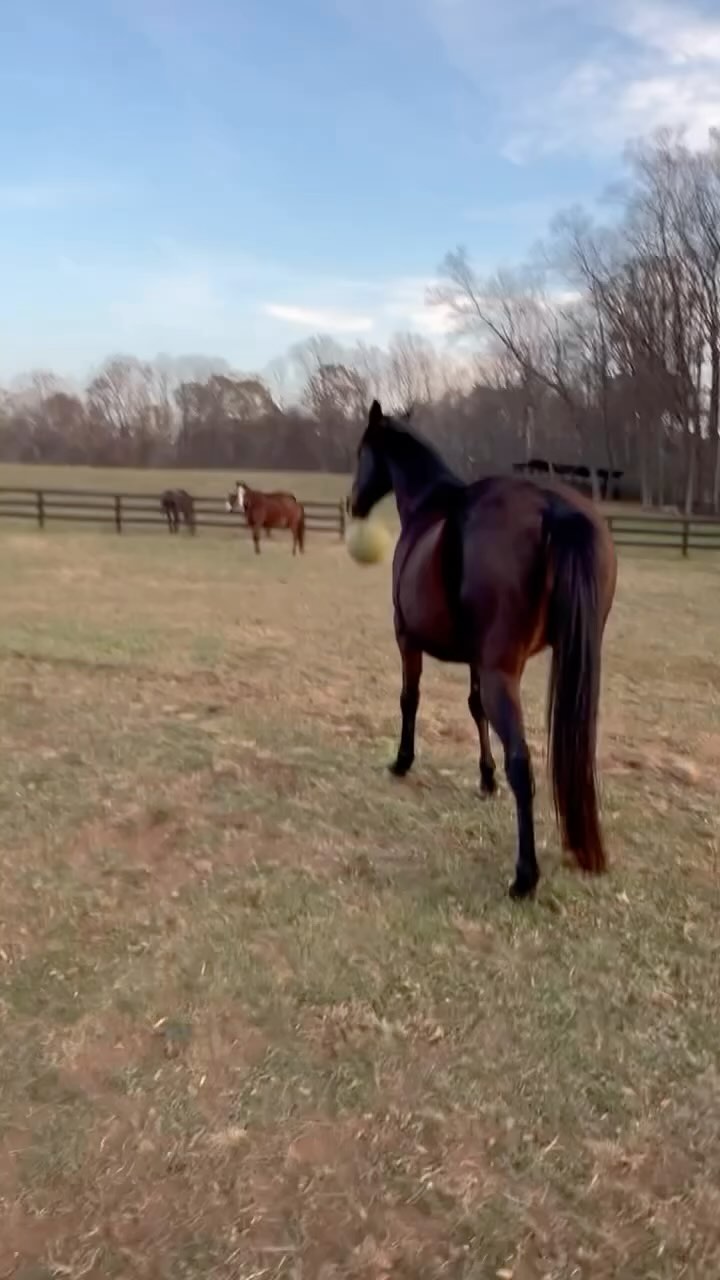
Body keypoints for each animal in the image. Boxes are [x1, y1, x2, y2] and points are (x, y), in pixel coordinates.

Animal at [348, 400, 617, 900]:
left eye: (361, 452)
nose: (352, 503)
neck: (430, 507)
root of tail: (552, 508)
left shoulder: (406, 639)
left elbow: (409, 699)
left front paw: (402, 761)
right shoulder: (476, 658)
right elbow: (475, 710)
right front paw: (485, 777)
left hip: (500, 673)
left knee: (522, 763)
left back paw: (525, 876)